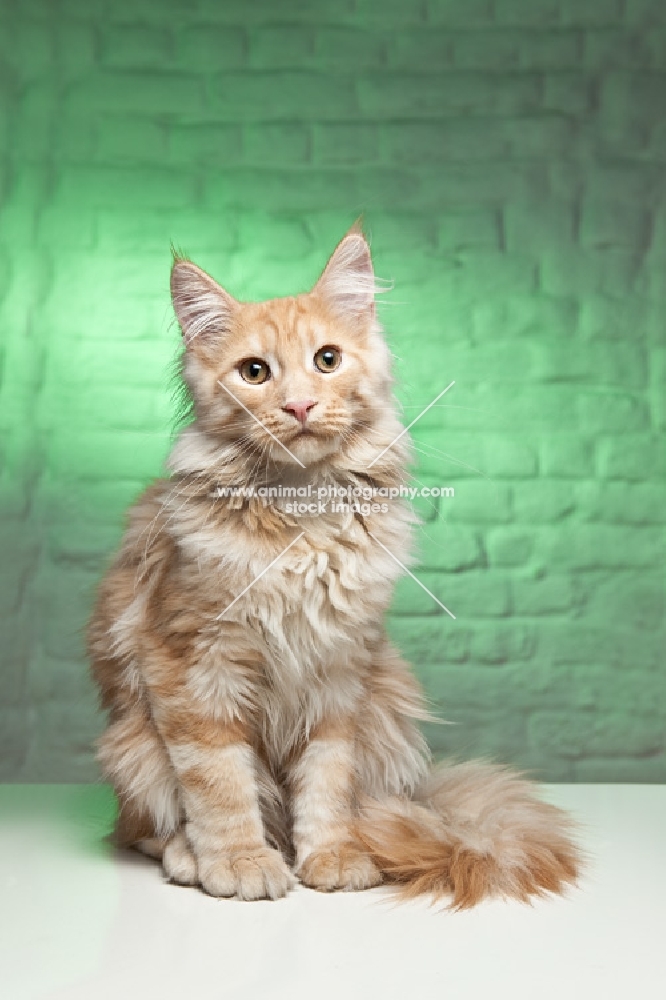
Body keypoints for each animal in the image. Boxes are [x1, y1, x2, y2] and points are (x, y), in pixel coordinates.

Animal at [87, 225, 576, 908]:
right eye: (255, 372)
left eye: (326, 359)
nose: (299, 407)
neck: (303, 520)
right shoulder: (189, 662)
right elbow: (219, 783)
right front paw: (238, 860)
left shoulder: (342, 671)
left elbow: (327, 781)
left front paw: (333, 854)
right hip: (130, 743)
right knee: (144, 828)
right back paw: (192, 855)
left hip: (388, 704)